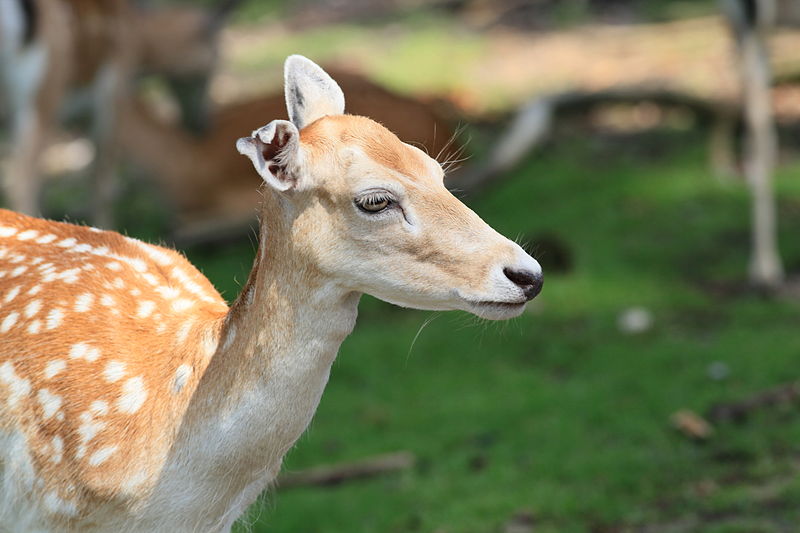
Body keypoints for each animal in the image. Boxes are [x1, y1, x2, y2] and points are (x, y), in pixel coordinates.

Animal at [0, 0, 239, 227]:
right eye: (216, 59)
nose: (203, 126)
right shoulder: (114, 93)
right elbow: (102, 183)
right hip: (43, 93)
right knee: (20, 181)